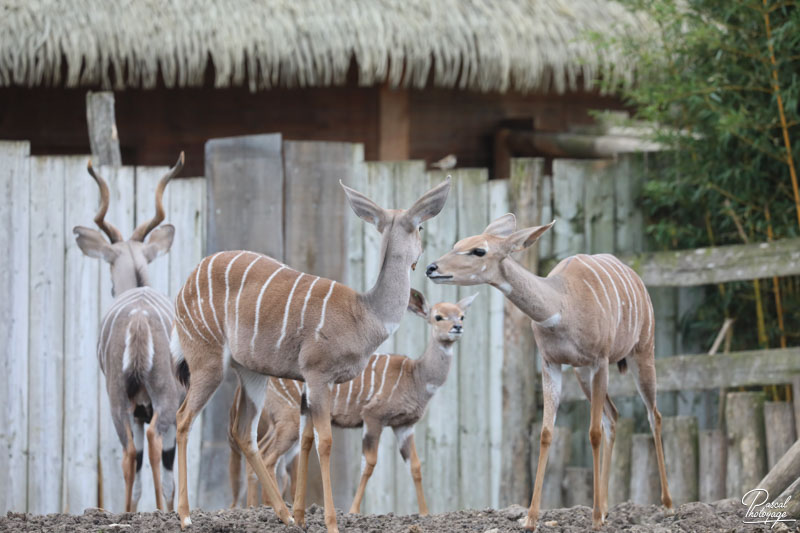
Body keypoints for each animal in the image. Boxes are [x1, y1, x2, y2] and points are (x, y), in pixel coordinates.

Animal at [71, 153, 184, 512]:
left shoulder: (134, 408)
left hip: (118, 402)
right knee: (152, 444)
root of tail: (138, 319)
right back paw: (161, 510)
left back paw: (126, 511)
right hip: (162, 400)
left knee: (129, 453)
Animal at [172, 178, 454, 528]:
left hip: (251, 373)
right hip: (207, 362)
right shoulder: (320, 375)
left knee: (243, 433)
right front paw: (331, 523)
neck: (365, 313)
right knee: (183, 418)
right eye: (420, 227)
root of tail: (184, 286)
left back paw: (283, 516)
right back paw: (185, 516)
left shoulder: (310, 382)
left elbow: (306, 441)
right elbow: (325, 442)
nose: (427, 265)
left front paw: (301, 517)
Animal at [428, 214, 672, 528]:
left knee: (653, 415)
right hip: (582, 374)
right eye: (457, 244)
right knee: (613, 416)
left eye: (479, 250)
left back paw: (667, 505)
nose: (431, 268)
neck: (560, 305)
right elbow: (546, 432)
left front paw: (594, 519)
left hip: (642, 352)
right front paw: (530, 519)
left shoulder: (600, 359)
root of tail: (638, 280)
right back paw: (606, 507)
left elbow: (592, 432)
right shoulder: (552, 363)